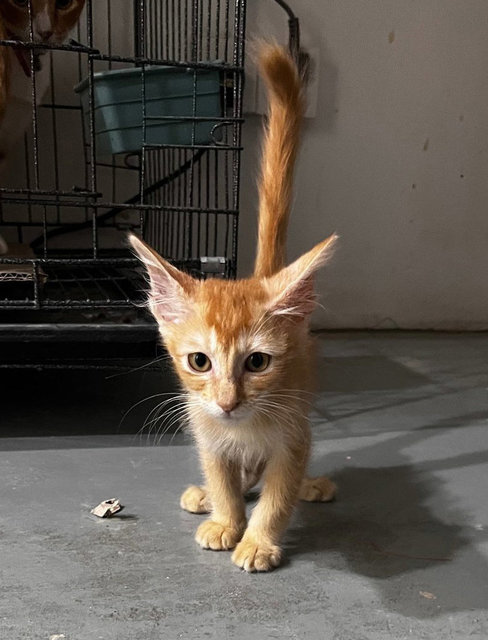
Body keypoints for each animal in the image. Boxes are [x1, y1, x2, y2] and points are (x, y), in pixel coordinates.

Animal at [130, 46, 338, 576]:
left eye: (258, 362)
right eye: (199, 361)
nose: (226, 402)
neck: (244, 427)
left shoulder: (292, 437)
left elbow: (279, 494)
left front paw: (259, 540)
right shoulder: (208, 433)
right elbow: (223, 474)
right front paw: (226, 516)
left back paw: (311, 486)